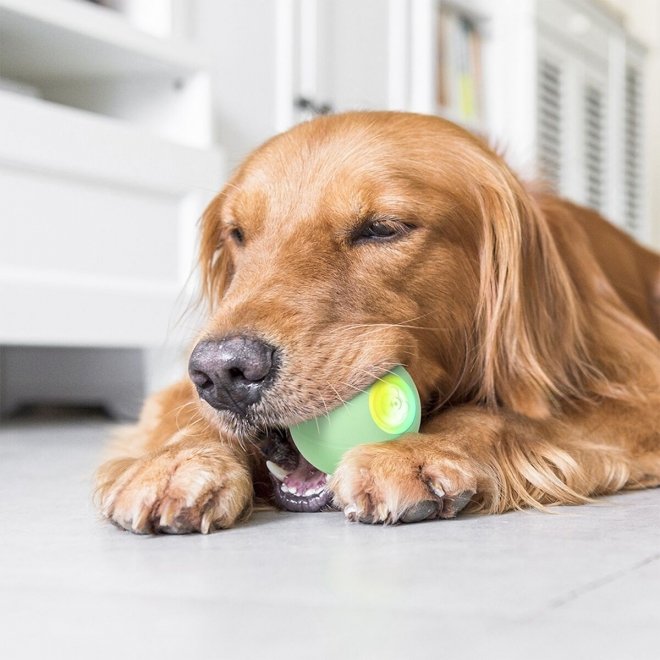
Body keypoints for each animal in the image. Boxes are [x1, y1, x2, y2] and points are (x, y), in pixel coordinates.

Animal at [95, 111, 660, 532]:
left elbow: (506, 414)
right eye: (238, 233)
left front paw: (418, 449)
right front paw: (177, 461)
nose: (223, 372)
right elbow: (182, 412)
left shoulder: (638, 388)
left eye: (382, 229)